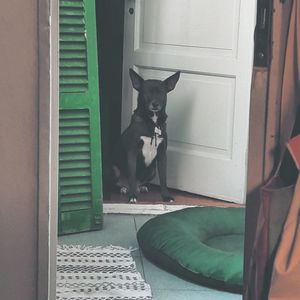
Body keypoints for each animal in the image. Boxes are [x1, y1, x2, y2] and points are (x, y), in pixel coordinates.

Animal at [111, 69, 179, 203]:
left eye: (161, 93)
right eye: (146, 92)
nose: (155, 104)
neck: (152, 123)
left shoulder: (162, 154)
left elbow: (163, 178)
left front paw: (166, 196)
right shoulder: (132, 153)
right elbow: (132, 175)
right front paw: (132, 196)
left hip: (152, 171)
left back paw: (141, 187)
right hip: (114, 169)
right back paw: (124, 189)